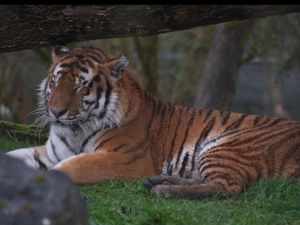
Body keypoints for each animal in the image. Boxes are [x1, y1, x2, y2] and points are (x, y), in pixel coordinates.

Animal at [5, 45, 300, 199]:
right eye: (56, 83)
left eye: (81, 86)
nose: (55, 111)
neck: (76, 129)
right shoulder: (51, 152)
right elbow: (13, 156)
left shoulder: (126, 159)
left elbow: (71, 167)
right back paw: (158, 182)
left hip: (227, 146)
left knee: (229, 187)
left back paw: (162, 190)